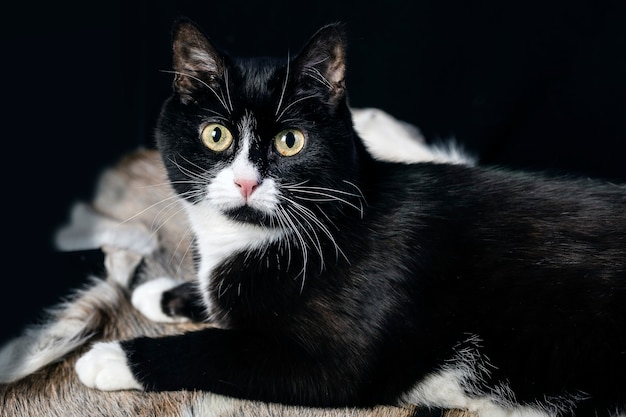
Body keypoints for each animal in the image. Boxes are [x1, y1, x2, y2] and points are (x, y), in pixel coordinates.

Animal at [74, 17, 624, 414]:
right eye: (216, 134)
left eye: (290, 141)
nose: (246, 182)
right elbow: (218, 306)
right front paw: (164, 293)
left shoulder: (335, 362)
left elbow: (216, 347)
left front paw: (113, 357)